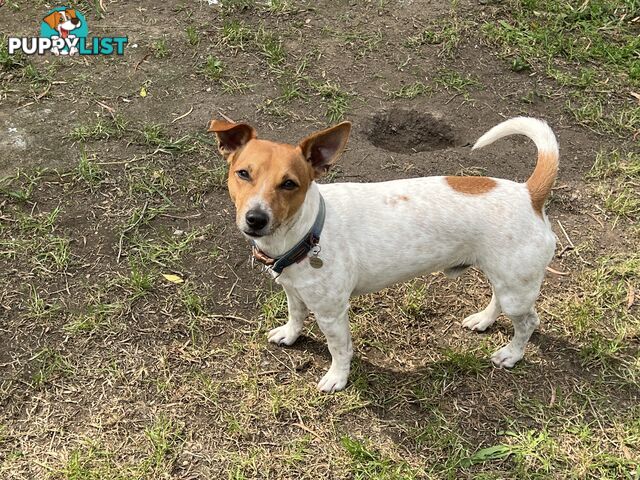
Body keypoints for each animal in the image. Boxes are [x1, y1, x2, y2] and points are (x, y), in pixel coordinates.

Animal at [211, 117, 560, 394]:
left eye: (289, 184)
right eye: (243, 173)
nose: (256, 218)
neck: (308, 230)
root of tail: (529, 193)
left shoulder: (332, 313)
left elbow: (339, 348)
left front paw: (337, 378)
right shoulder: (294, 292)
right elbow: (295, 316)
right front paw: (290, 335)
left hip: (516, 288)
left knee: (528, 321)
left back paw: (511, 354)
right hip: (504, 278)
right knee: (498, 299)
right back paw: (483, 321)